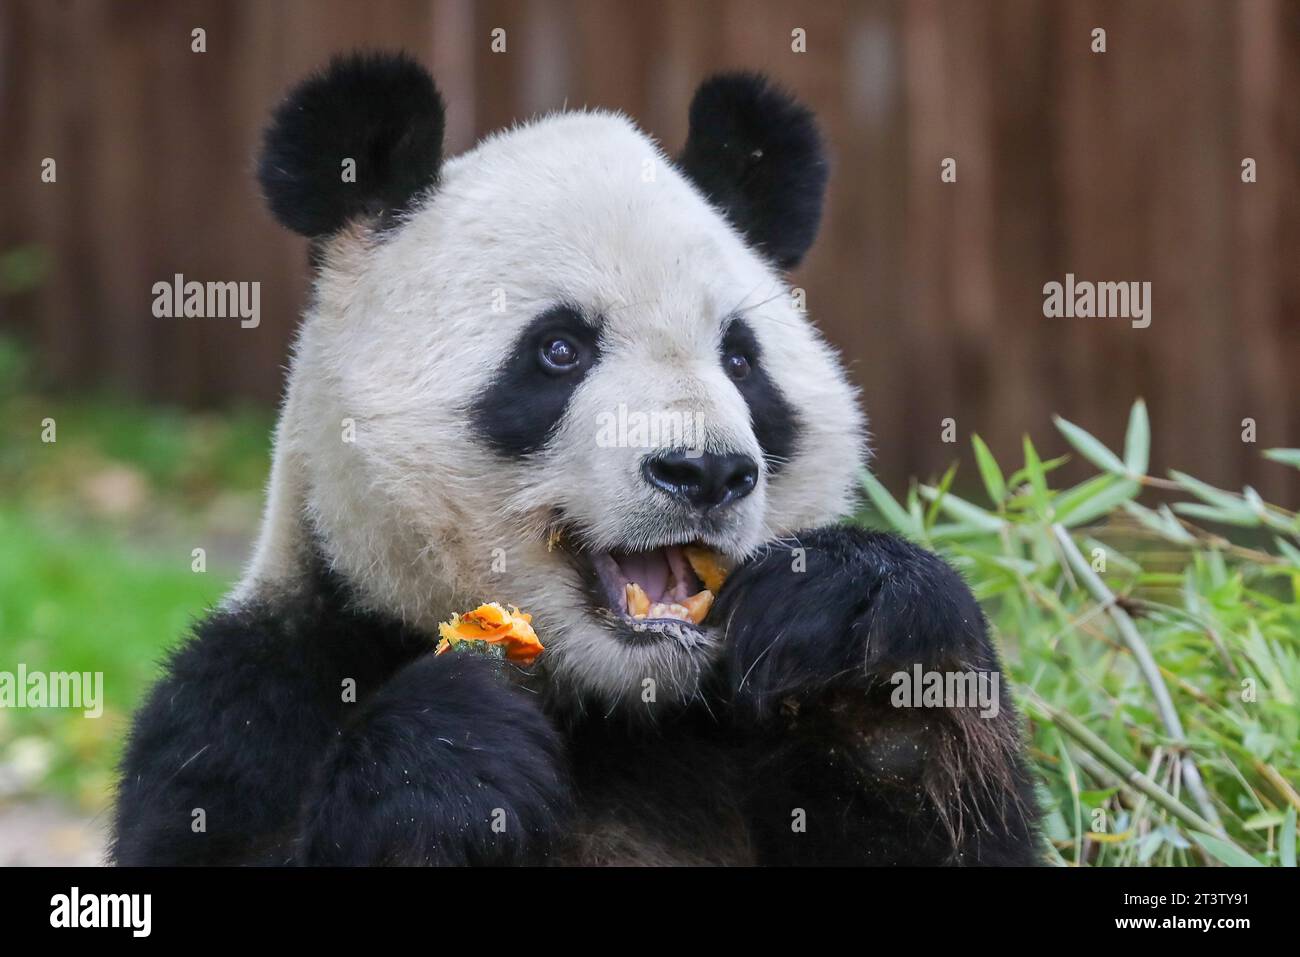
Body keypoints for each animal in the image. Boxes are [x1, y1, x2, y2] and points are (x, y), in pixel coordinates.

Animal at [114, 52, 1045, 868]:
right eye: (560, 349)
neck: (613, 703)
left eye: (740, 358)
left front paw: (862, 633)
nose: (705, 472)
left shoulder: (727, 727)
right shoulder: (256, 687)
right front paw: (453, 743)